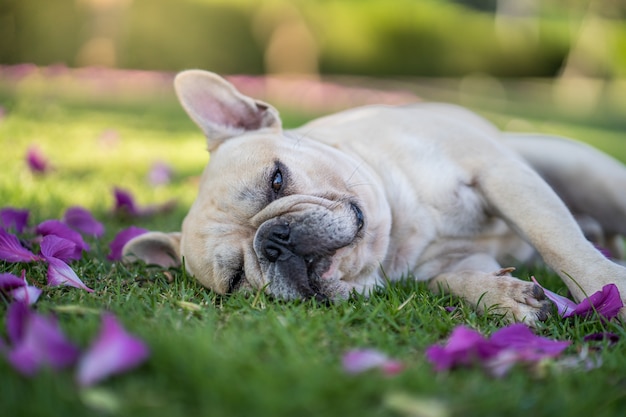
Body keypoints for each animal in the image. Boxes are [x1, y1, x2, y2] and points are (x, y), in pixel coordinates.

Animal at [122, 70, 624, 324]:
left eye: (277, 180)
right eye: (236, 279)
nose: (274, 241)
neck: (396, 232)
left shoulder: (498, 173)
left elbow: (558, 243)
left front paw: (608, 291)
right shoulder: (451, 264)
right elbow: (451, 281)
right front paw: (504, 297)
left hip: (580, 169)